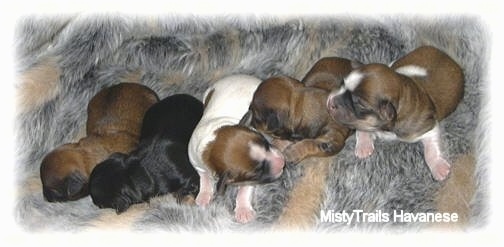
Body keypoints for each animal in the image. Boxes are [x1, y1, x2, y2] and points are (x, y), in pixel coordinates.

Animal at [188, 74, 286, 224]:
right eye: (256, 172)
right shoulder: (196, 159)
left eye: (264, 142)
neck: (213, 139)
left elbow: (245, 190)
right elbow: (204, 176)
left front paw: (243, 210)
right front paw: (204, 194)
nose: (282, 162)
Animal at [326, 46, 464, 180]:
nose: (330, 101)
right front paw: (363, 146)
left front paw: (439, 168)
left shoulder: (427, 126)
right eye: (342, 83)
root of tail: (445, 54)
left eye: (358, 104)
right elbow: (361, 128)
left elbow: (431, 150)